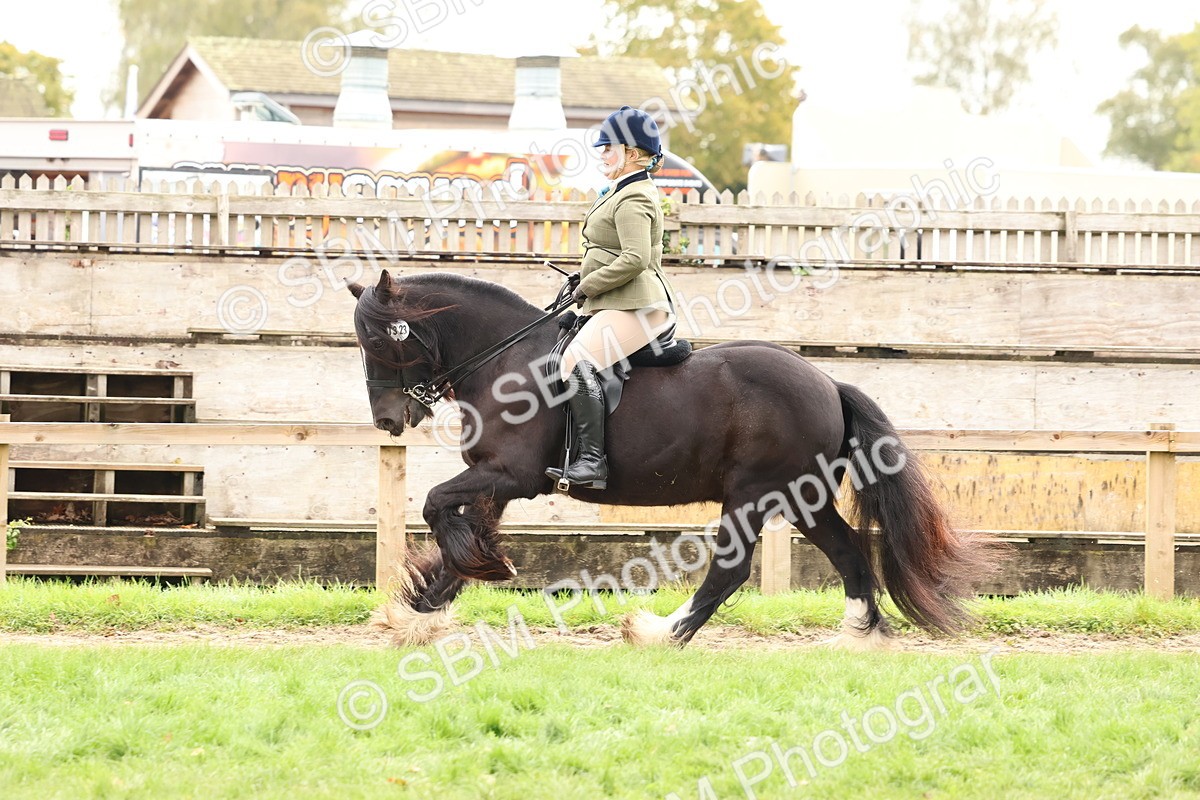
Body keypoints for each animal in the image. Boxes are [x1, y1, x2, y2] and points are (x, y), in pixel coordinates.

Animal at [349, 270, 993, 648]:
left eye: (380, 341)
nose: (389, 421)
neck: (504, 360)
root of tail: (828, 383)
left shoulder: (512, 475)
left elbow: (436, 506)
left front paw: (468, 580)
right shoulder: (495, 481)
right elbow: (458, 533)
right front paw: (423, 610)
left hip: (754, 494)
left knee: (731, 569)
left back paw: (659, 632)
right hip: (801, 499)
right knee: (850, 552)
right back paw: (860, 635)